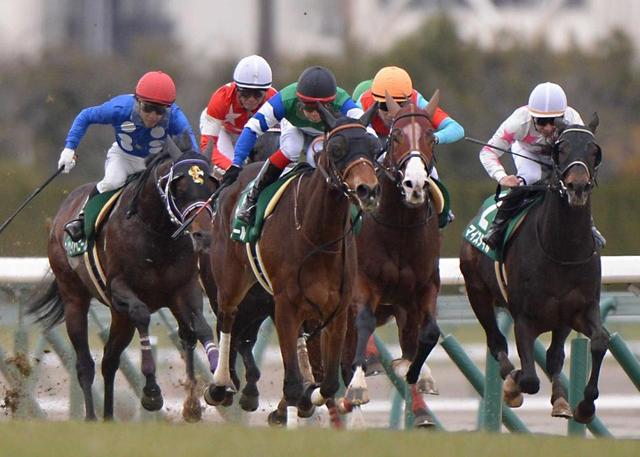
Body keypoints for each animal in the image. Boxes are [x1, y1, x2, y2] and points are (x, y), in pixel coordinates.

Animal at [28, 138, 218, 420]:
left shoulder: (184, 289)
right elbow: (142, 314)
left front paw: (204, 395)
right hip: (74, 297)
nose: (203, 234)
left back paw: (108, 416)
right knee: (85, 363)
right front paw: (151, 392)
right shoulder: (119, 288)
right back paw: (91, 417)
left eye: (211, 187)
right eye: (180, 188)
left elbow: (200, 328)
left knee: (110, 359)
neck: (156, 233)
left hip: (119, 316)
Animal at [204, 105, 380, 426]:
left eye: (375, 148)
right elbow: (295, 384)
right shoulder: (284, 304)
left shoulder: (336, 309)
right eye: (336, 149)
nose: (367, 190)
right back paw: (220, 385)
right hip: (231, 281)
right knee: (227, 319)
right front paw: (295, 399)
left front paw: (312, 396)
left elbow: (328, 382)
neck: (318, 236)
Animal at [342, 92, 442, 428]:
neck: (398, 229)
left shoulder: (423, 288)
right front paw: (357, 388)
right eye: (395, 136)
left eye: (432, 137)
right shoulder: (362, 284)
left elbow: (427, 334)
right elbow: (363, 322)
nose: (415, 184)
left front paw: (417, 375)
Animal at [460, 116, 604, 422]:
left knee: (554, 357)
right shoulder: (524, 318)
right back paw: (509, 377)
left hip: (560, 320)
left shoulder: (581, 310)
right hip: (477, 292)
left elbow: (599, 342)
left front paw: (584, 407)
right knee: (496, 343)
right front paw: (513, 385)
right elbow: (528, 379)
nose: (577, 187)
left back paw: (561, 399)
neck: (562, 250)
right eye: (561, 149)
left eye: (593, 150)